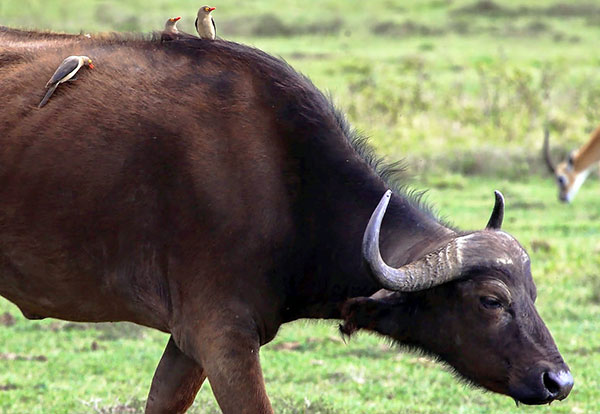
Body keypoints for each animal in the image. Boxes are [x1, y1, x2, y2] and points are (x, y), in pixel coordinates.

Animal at [0, 27, 572, 412]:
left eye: (532, 294)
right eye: (491, 300)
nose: (559, 381)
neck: (289, 186)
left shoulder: (188, 344)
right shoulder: (223, 337)